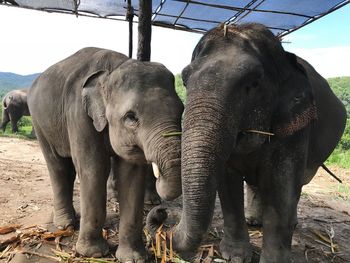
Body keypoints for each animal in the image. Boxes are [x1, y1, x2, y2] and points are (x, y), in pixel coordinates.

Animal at [27, 47, 183, 262]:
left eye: (182, 110)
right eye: (131, 117)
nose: (161, 210)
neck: (113, 68)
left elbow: (131, 175)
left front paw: (133, 258)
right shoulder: (78, 115)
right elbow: (94, 170)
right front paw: (93, 253)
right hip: (39, 122)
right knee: (57, 166)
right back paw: (65, 225)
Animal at [148, 23, 348, 263]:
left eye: (253, 84)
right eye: (185, 81)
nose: (161, 212)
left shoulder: (295, 125)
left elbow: (282, 185)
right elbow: (228, 181)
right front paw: (233, 256)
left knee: (296, 185)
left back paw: (291, 223)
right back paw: (254, 221)